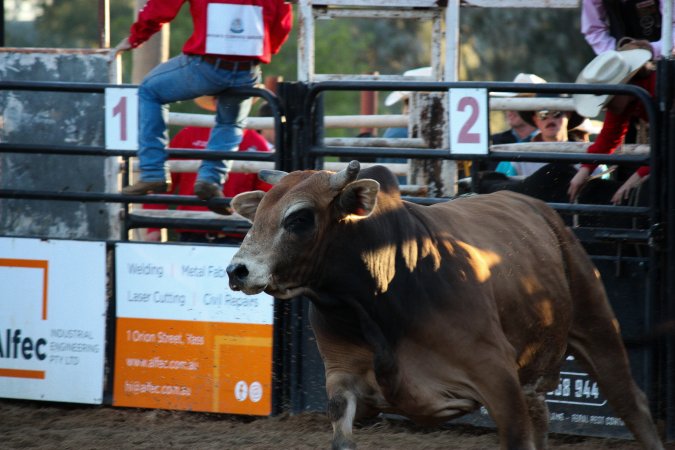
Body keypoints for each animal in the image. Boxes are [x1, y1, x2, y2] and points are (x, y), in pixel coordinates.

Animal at [226, 161, 663, 450]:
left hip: (596, 325)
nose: (237, 270)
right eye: (257, 214)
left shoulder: (498, 379)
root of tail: (539, 209)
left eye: (299, 218)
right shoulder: (343, 379)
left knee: (632, 405)